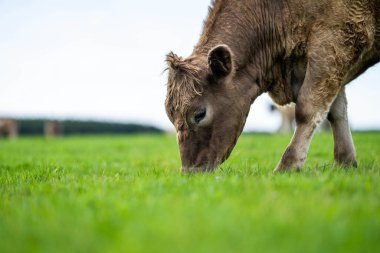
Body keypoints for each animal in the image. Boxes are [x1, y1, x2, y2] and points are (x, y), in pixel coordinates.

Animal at [164, 0, 380, 172]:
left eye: (199, 114)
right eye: (171, 117)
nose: (190, 171)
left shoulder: (334, 41)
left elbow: (308, 109)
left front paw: (288, 165)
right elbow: (336, 112)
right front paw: (345, 163)